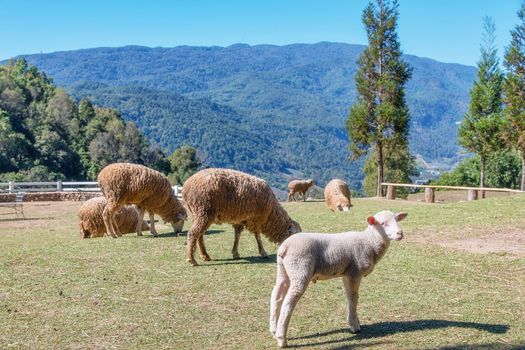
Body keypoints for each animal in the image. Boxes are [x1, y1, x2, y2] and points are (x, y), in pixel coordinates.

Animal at [268, 209, 408, 348]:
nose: (400, 233)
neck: (369, 242)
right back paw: (281, 339)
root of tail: (284, 248)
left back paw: (274, 330)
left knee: (277, 295)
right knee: (288, 303)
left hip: (284, 270)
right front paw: (354, 326)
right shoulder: (354, 273)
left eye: (397, 219)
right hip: (299, 269)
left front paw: (355, 321)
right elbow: (353, 298)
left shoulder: (347, 274)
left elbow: (350, 297)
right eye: (383, 223)